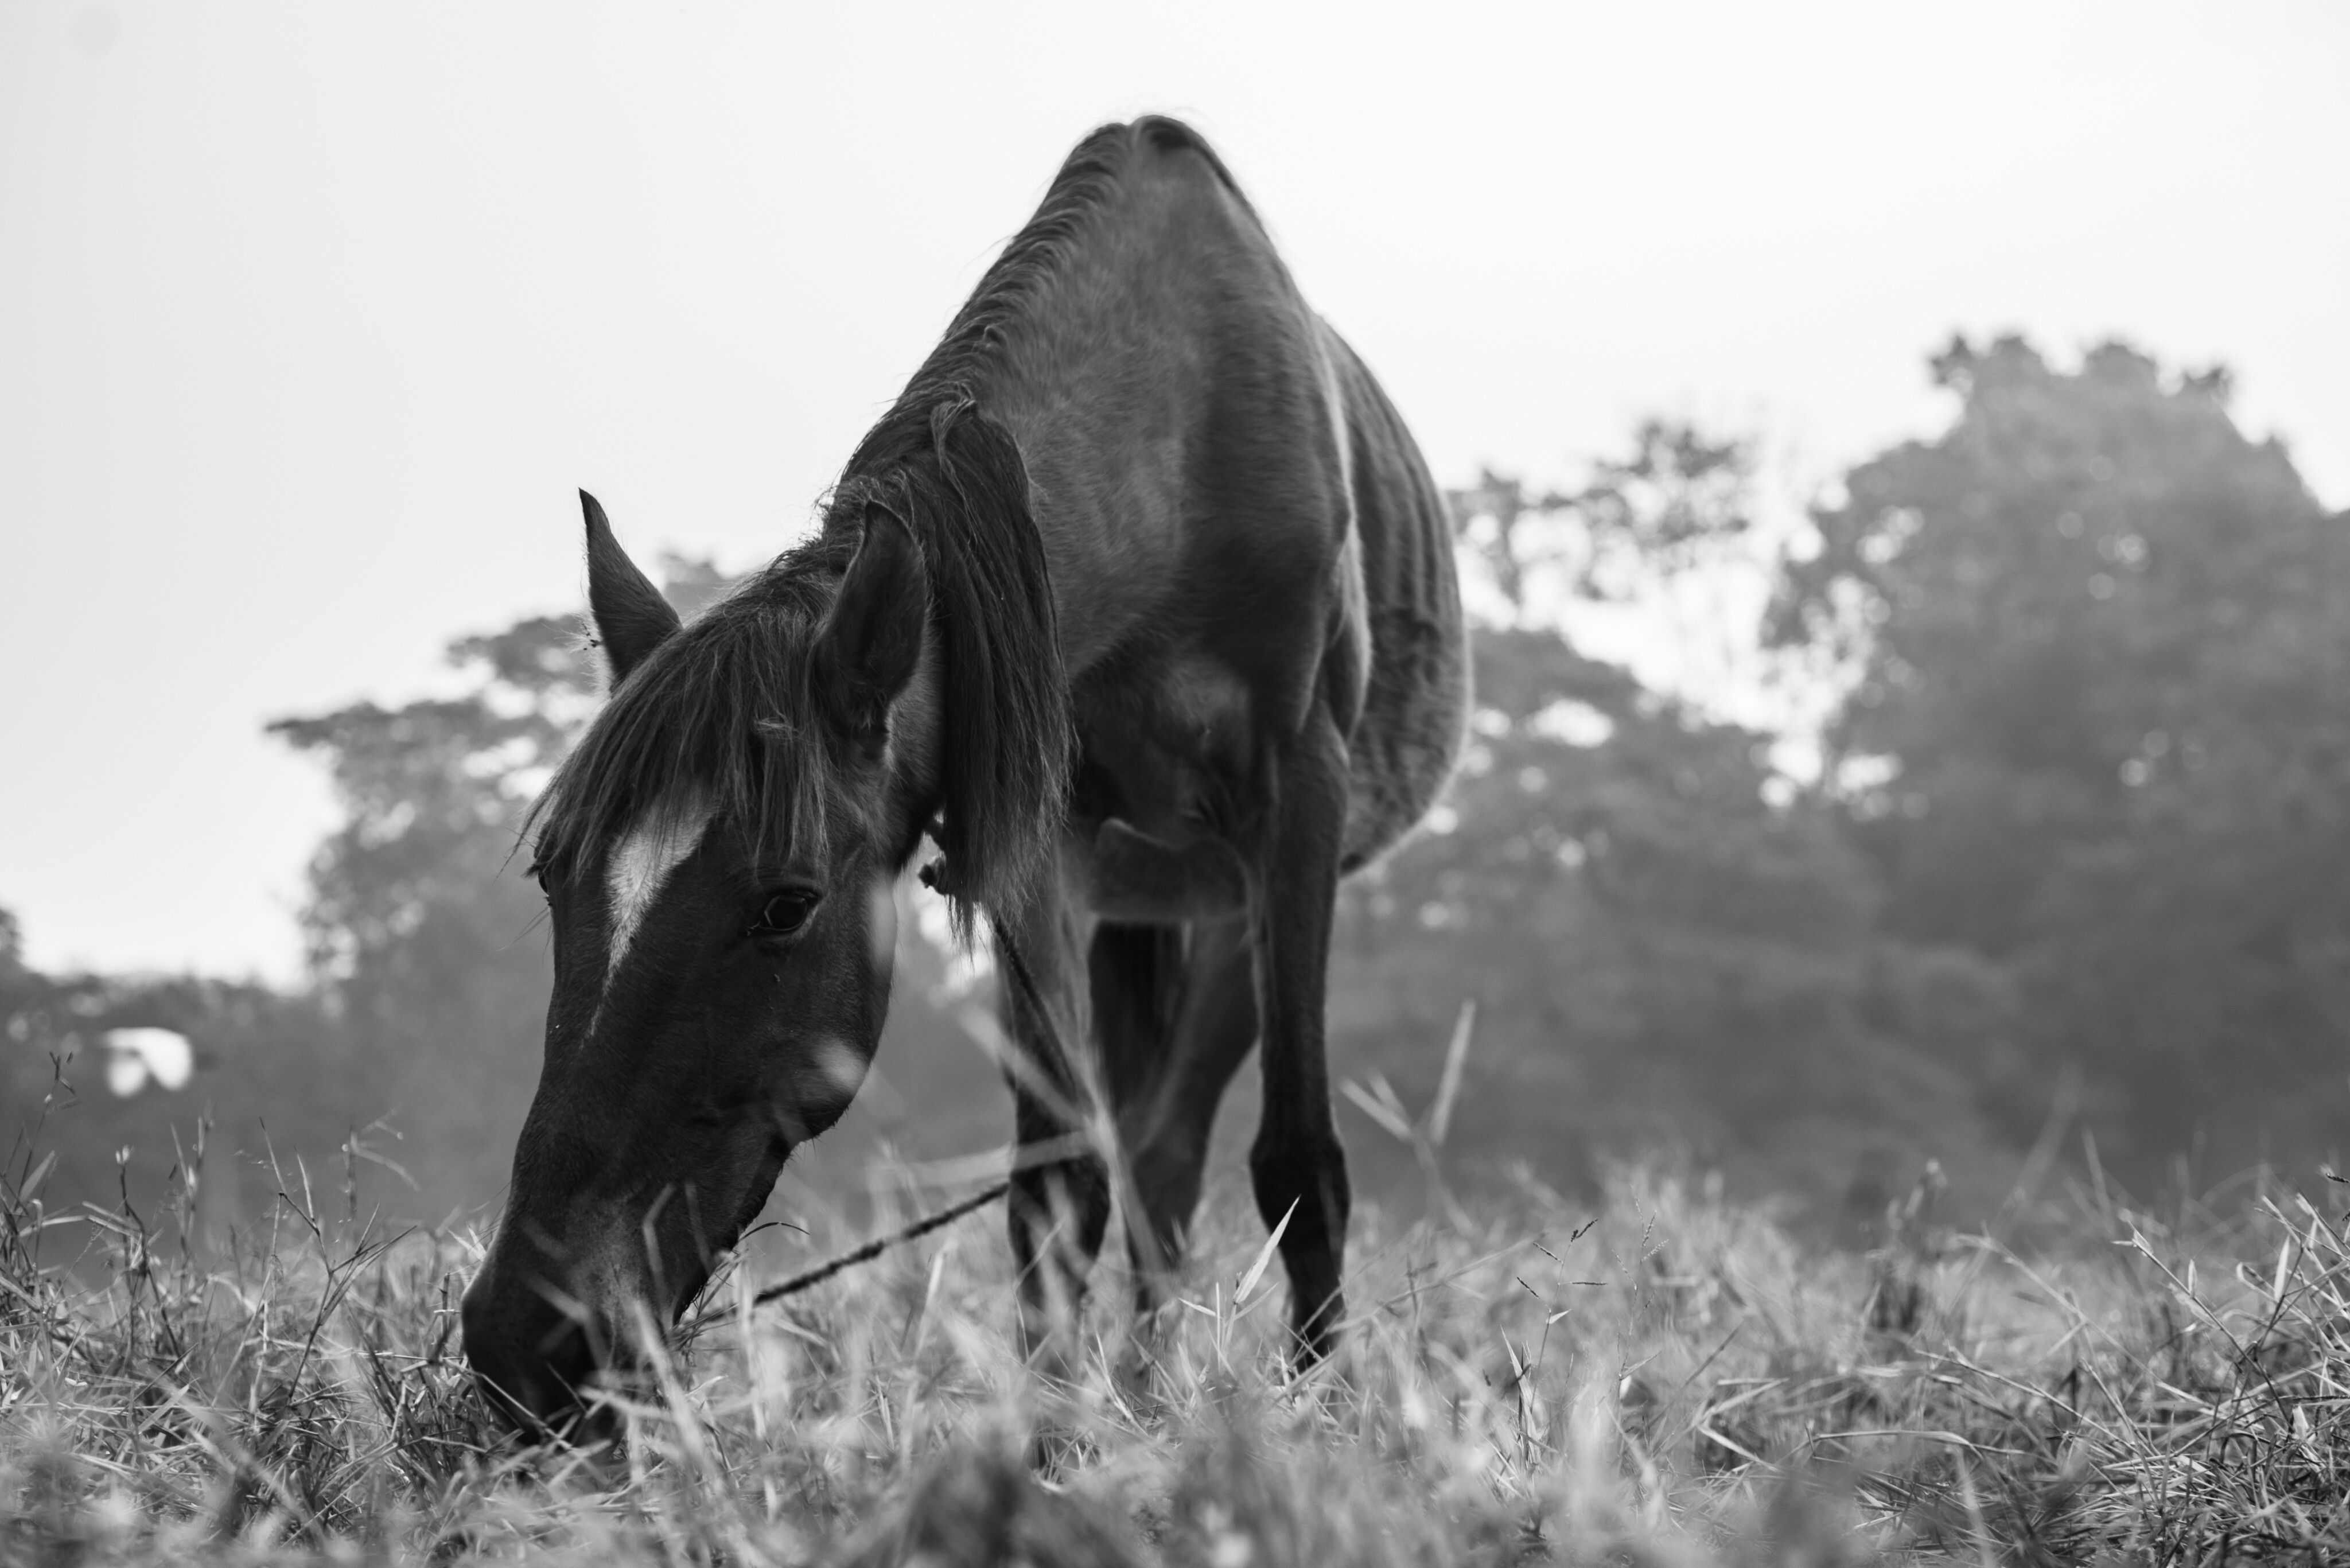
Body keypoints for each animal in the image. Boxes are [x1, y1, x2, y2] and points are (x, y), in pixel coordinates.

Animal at [459, 116, 1468, 1435]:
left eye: (786, 904)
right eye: (553, 876)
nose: (528, 1336)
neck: (1179, 446)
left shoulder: (1294, 804)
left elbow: (1296, 1157)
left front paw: (1320, 1415)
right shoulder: (1033, 830)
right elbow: (1057, 1178)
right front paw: (1057, 1420)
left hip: (1234, 896)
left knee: (1180, 1146)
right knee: (1140, 1158)